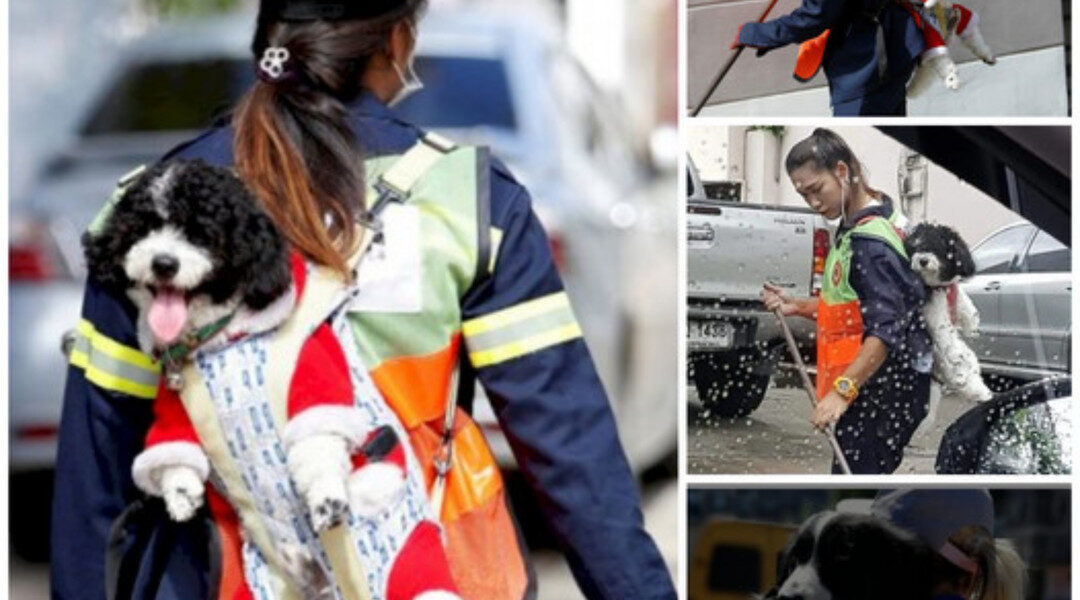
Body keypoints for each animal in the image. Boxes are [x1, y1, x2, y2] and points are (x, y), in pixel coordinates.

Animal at [902, 223, 993, 403]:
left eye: (936, 248)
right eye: (914, 249)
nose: (923, 260)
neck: (938, 287)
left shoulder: (952, 291)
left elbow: (964, 302)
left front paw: (971, 323)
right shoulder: (934, 311)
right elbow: (944, 330)